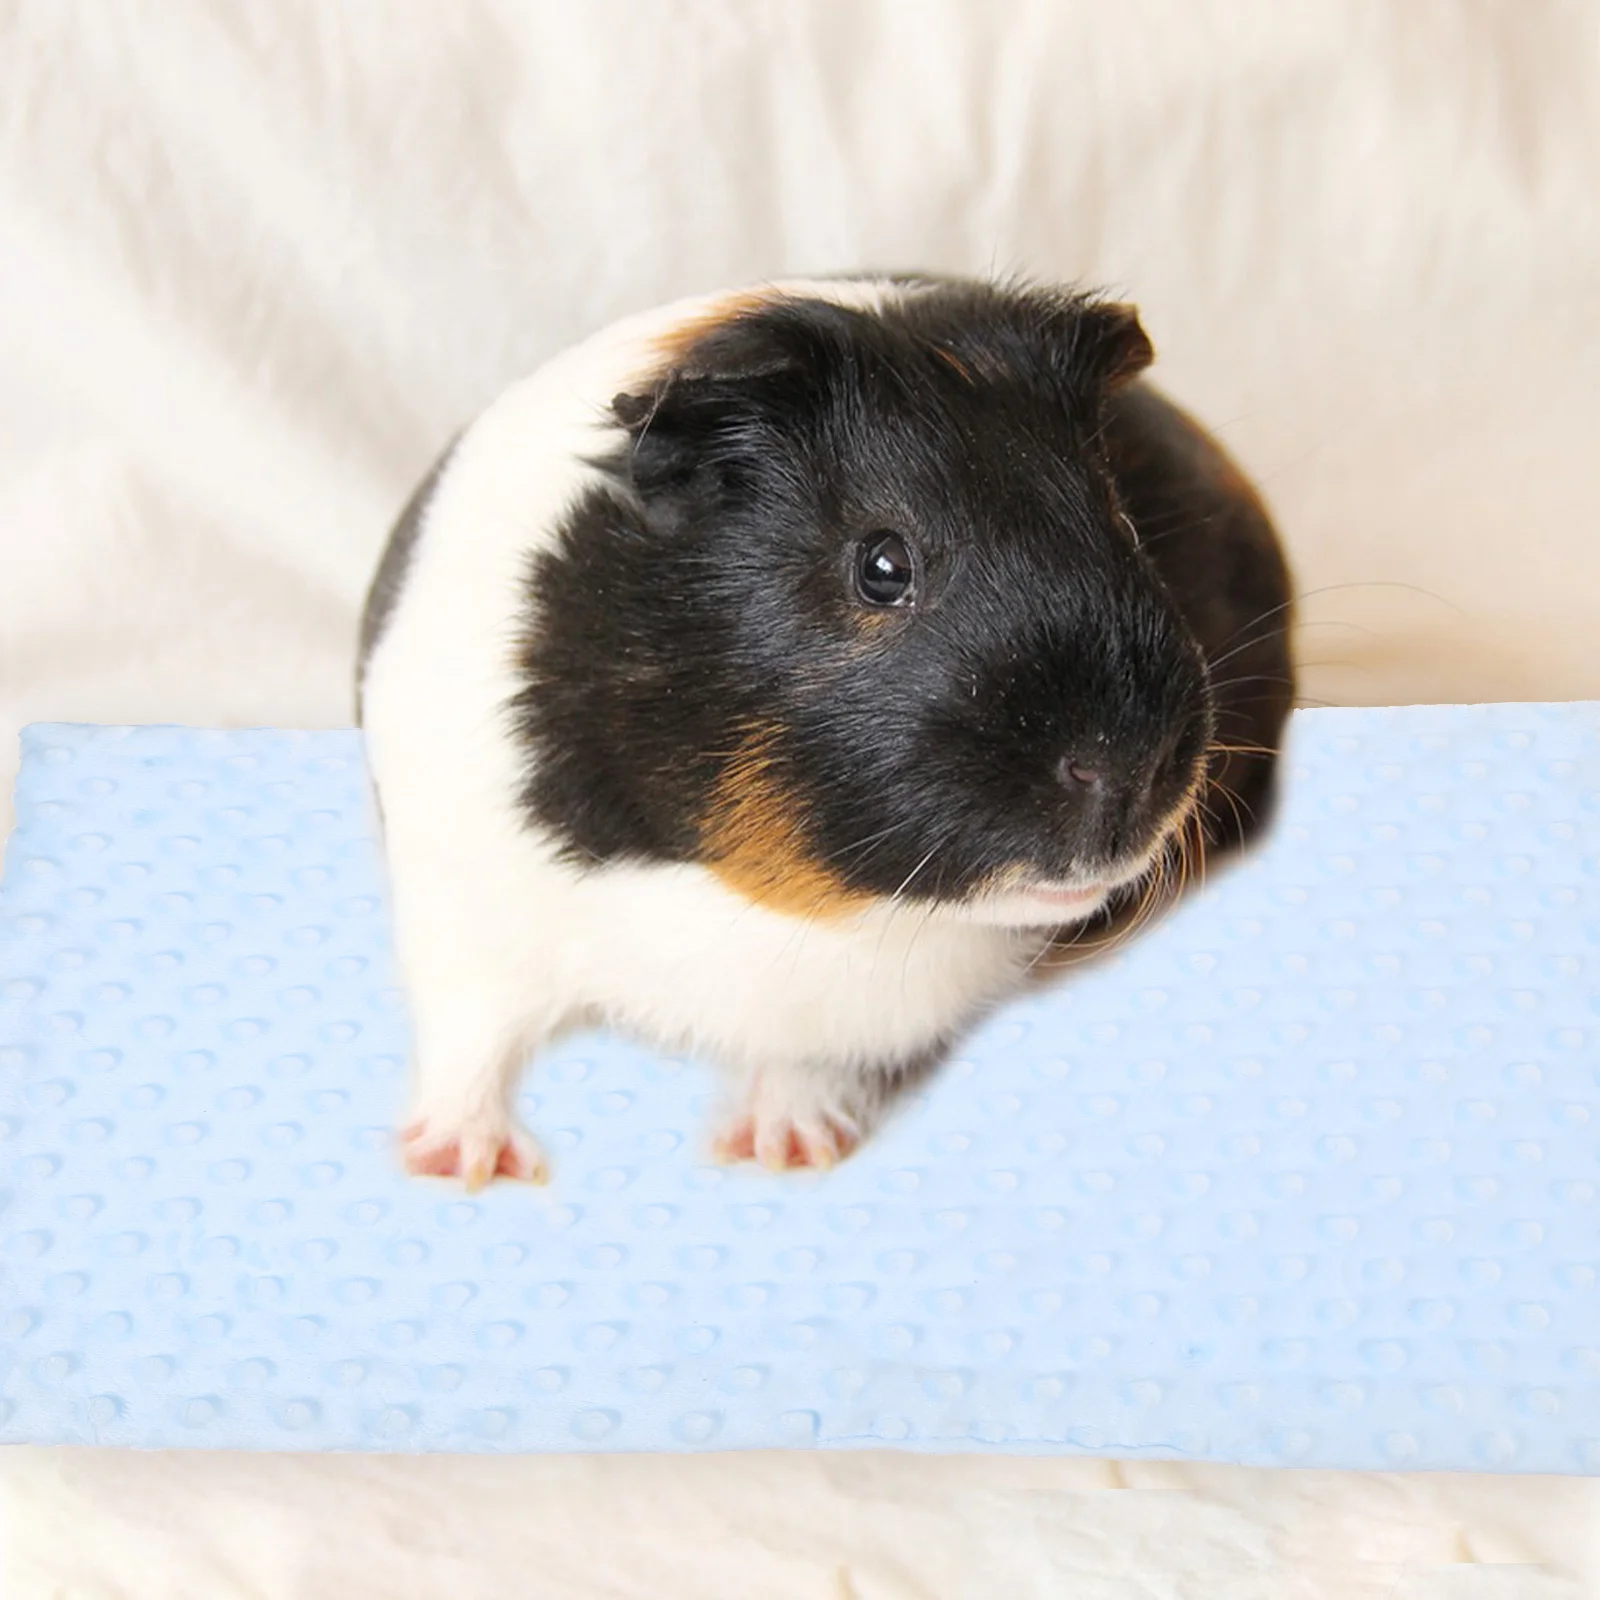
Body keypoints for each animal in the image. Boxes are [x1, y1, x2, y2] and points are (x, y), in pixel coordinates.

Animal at [357, 275, 1294, 1186]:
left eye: (1122, 524)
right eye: (882, 564)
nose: (1128, 767)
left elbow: (808, 1056)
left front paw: (782, 1150)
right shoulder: (462, 900)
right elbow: (469, 1038)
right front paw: (456, 1165)